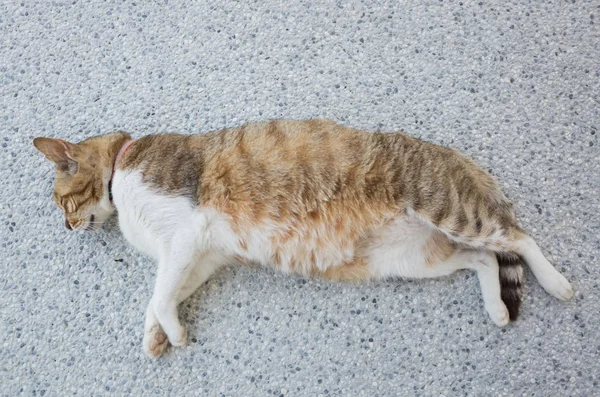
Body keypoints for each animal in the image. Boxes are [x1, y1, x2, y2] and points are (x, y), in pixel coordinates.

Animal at [31, 119, 572, 358]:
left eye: (62, 203)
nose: (66, 227)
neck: (121, 170)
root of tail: (457, 157)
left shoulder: (184, 236)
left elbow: (160, 294)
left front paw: (172, 332)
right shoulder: (199, 258)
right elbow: (161, 295)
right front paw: (154, 337)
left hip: (453, 211)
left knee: (517, 238)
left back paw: (558, 283)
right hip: (413, 257)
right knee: (483, 260)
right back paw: (496, 309)